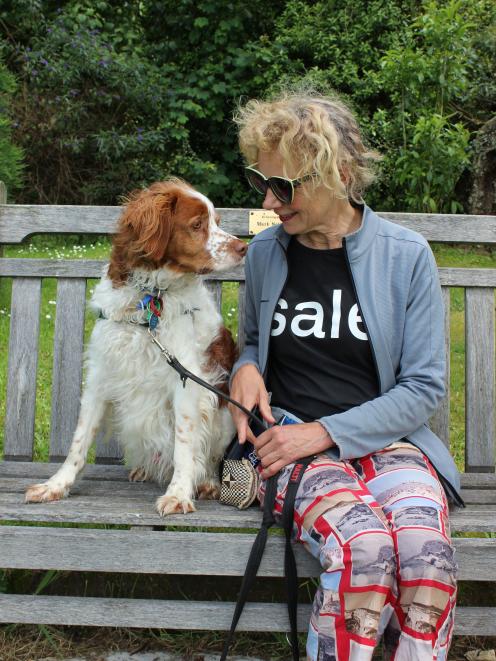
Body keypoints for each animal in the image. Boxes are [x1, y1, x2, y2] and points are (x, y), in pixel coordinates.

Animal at [25, 179, 246, 516]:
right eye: (198, 225)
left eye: (217, 222)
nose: (242, 247)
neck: (150, 299)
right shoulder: (102, 376)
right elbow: (79, 442)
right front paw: (56, 485)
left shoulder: (186, 381)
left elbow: (185, 445)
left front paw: (179, 494)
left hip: (225, 414)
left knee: (208, 456)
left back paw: (207, 481)